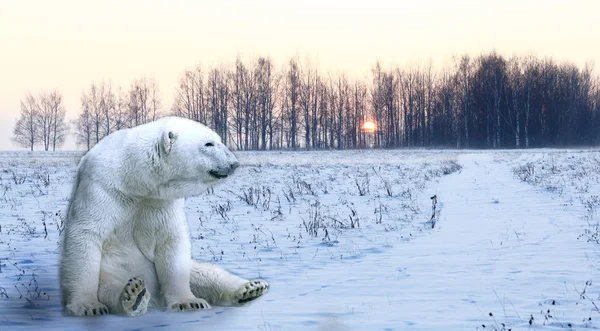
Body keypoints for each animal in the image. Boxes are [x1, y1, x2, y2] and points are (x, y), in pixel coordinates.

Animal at [59, 116, 270, 316]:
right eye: (208, 144)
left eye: (219, 140)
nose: (234, 163)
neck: (134, 180)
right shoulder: (102, 188)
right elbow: (86, 234)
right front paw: (88, 306)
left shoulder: (160, 202)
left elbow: (171, 241)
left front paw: (189, 302)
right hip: (111, 273)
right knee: (111, 288)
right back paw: (135, 295)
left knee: (206, 274)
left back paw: (251, 287)